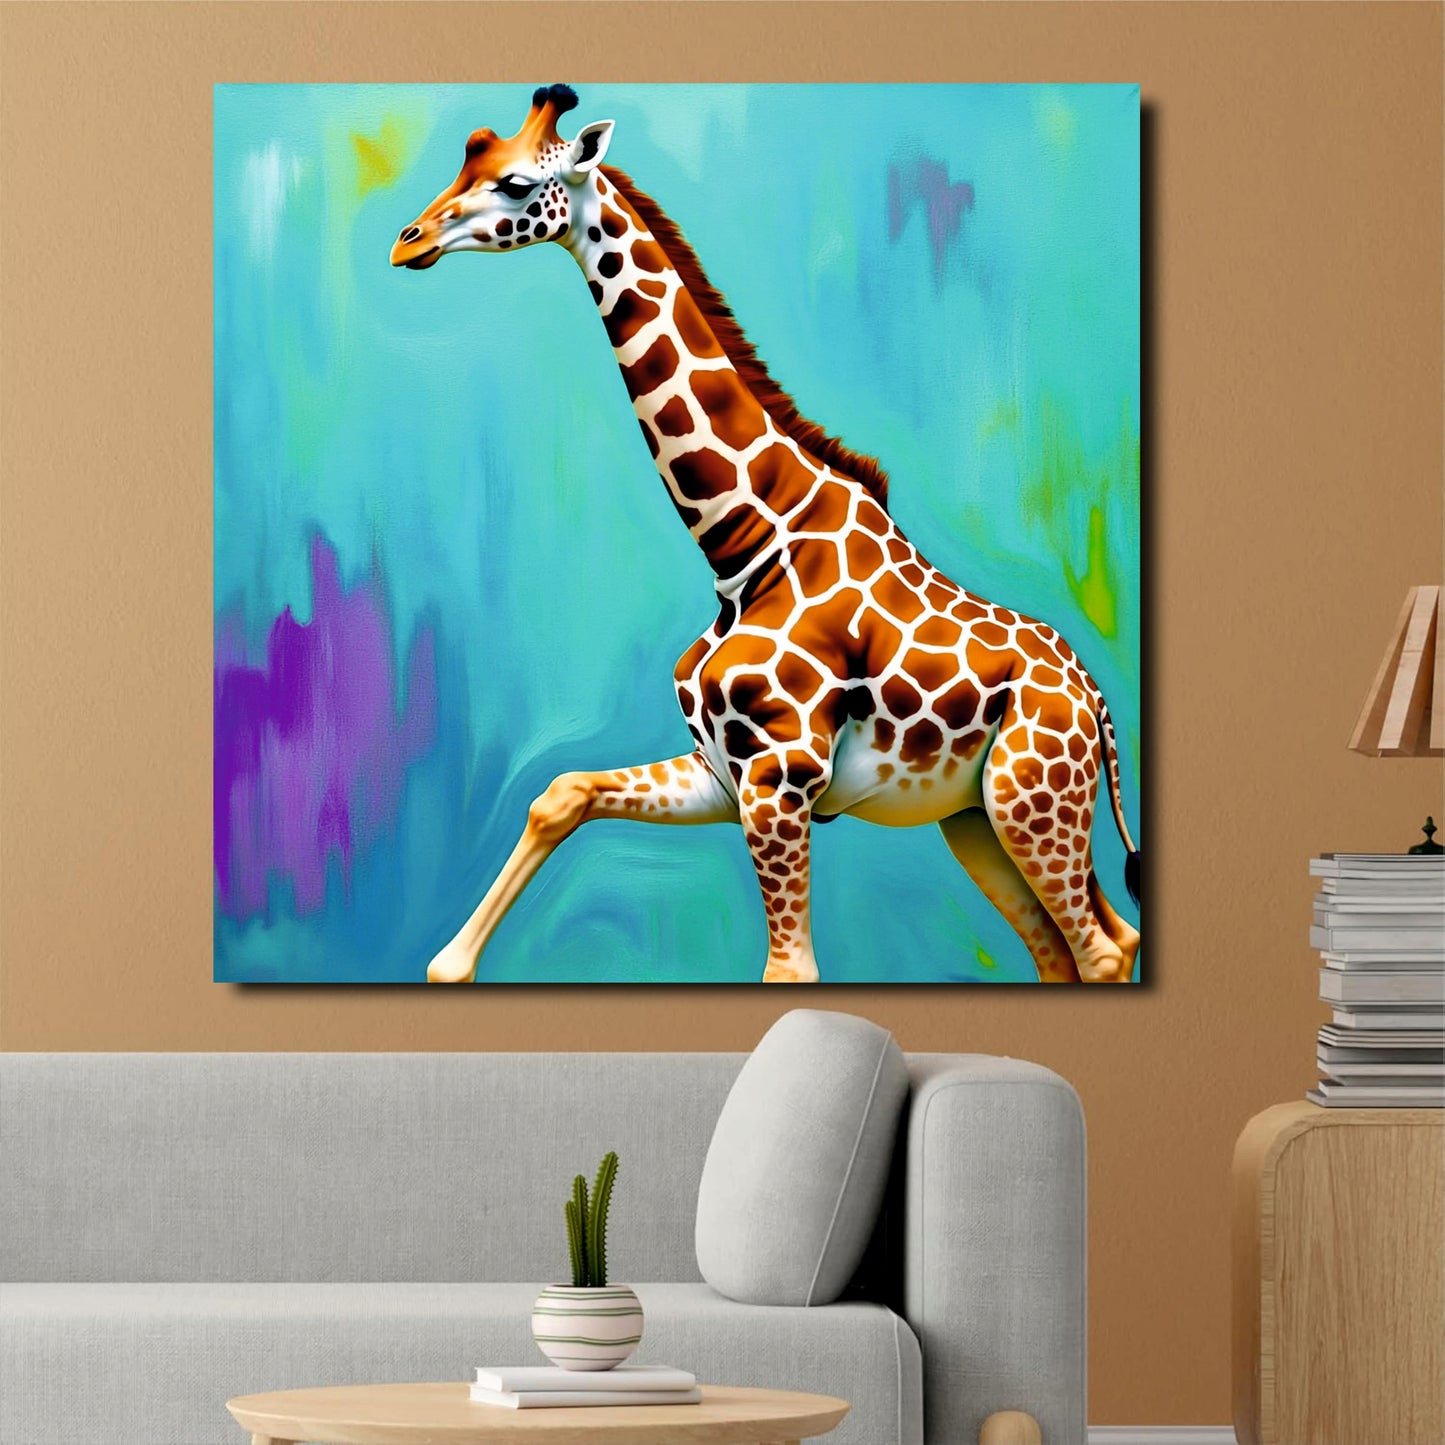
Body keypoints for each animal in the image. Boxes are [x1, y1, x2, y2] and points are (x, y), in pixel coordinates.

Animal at [391, 84, 1141, 985]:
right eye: (464, 159)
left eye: (511, 182)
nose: (406, 242)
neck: (744, 544)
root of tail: (1094, 701)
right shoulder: (723, 773)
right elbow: (560, 791)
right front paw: (448, 962)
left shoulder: (779, 778)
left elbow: (790, 971)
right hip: (974, 820)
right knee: (1073, 946)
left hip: (1032, 799)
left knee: (1100, 948)